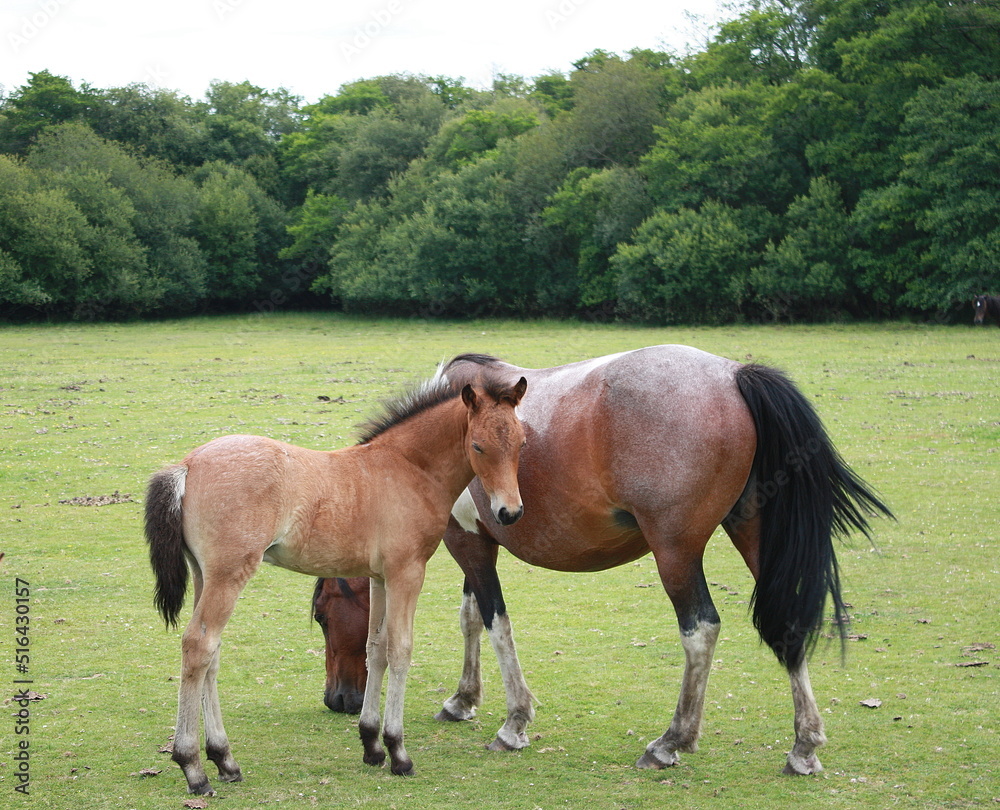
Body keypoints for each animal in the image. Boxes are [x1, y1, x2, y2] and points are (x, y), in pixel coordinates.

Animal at [146, 370, 532, 792]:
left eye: (521, 442)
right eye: (478, 446)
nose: (509, 512)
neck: (408, 467)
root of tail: (187, 464)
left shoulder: (380, 578)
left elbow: (375, 648)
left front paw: (372, 745)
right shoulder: (407, 572)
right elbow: (400, 650)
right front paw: (398, 751)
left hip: (205, 575)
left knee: (209, 654)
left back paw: (224, 759)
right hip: (229, 575)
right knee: (199, 646)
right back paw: (193, 767)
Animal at [430, 348, 892, 776]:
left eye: (513, 444)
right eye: (482, 446)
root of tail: (734, 374)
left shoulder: (467, 541)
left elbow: (495, 623)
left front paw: (514, 723)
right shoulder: (477, 545)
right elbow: (471, 617)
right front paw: (463, 700)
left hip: (675, 553)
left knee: (701, 630)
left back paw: (671, 741)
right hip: (754, 538)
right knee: (787, 623)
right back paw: (804, 746)